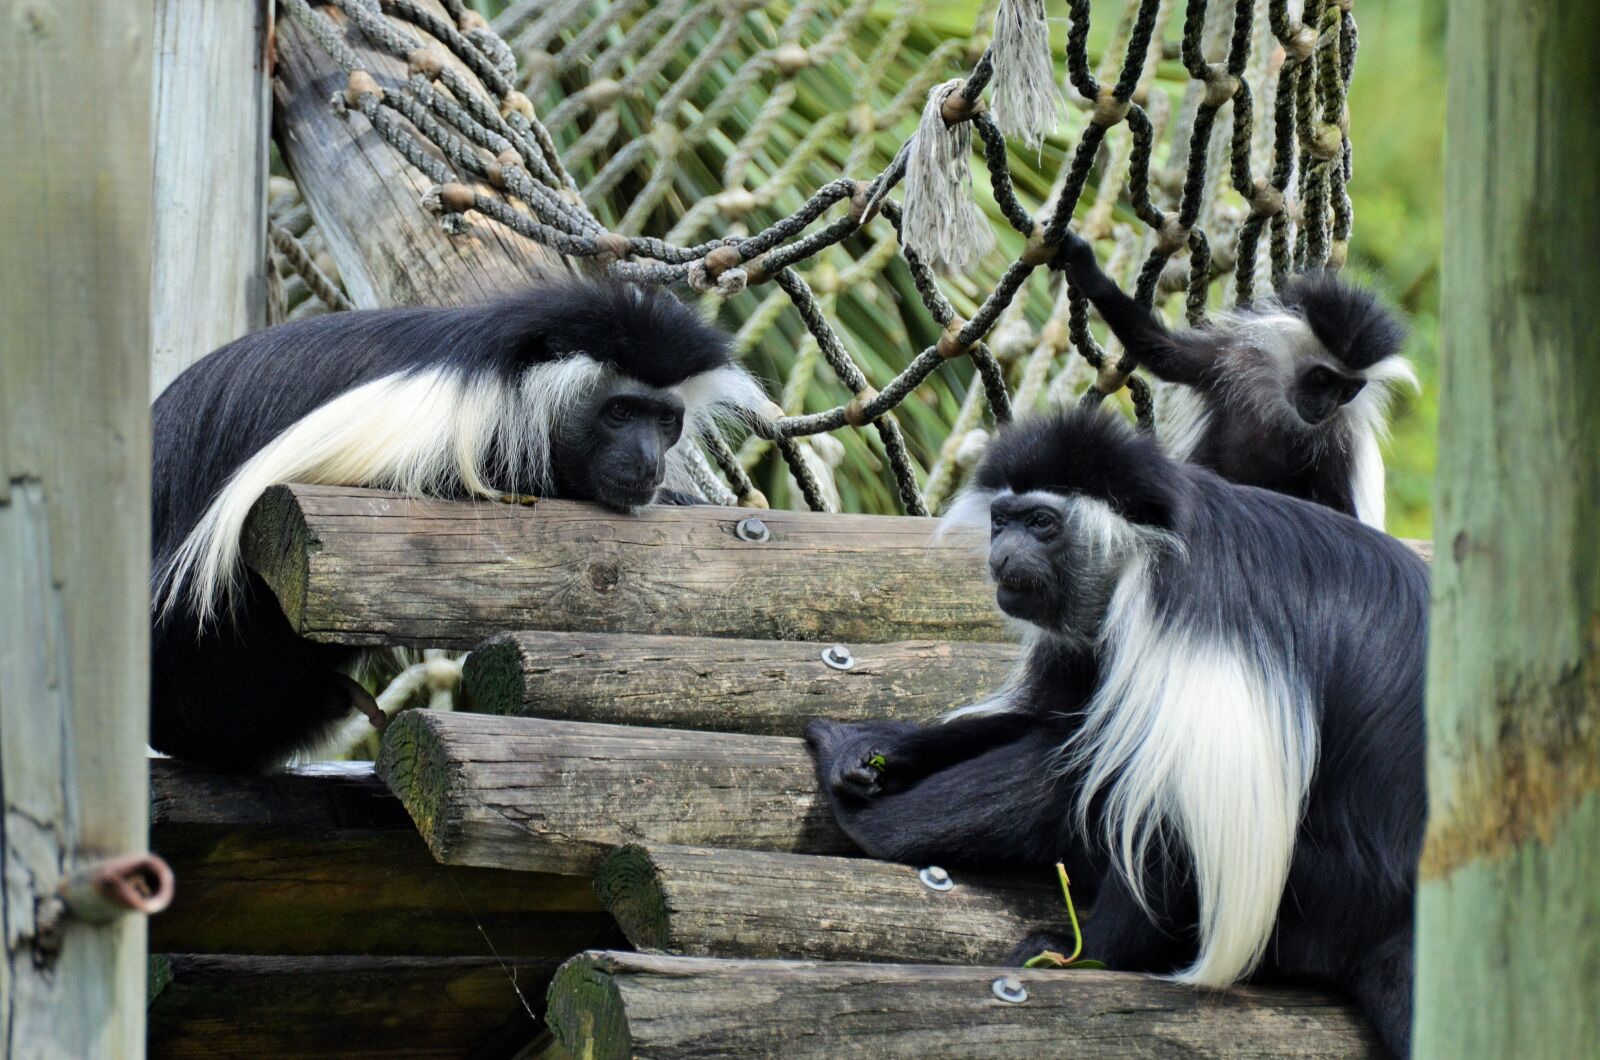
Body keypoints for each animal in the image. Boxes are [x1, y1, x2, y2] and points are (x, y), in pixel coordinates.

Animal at [807, 408, 1427, 1057]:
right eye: (1003, 520)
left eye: (1041, 523)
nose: (1002, 555)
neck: (1145, 545)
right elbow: (1053, 717)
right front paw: (878, 748)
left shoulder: (1173, 606)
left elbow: (1172, 808)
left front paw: (1088, 955)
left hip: (1319, 895)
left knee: (1098, 780)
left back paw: (878, 833)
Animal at [1054, 231, 1414, 528]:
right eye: (1322, 378)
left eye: (1348, 390)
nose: (1324, 407)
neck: (1281, 398)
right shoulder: (1231, 358)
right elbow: (1166, 353)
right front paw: (1086, 269)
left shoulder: (1341, 439)